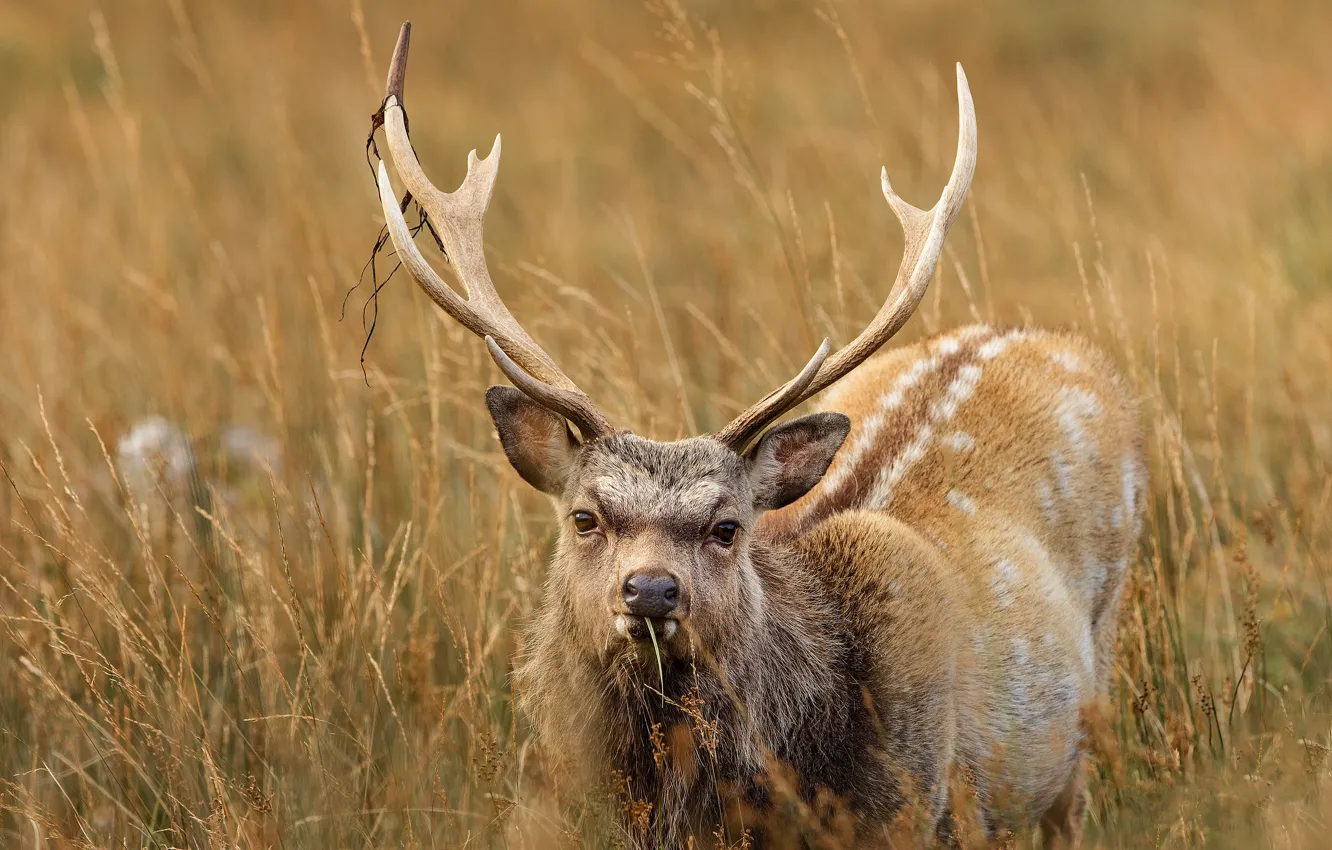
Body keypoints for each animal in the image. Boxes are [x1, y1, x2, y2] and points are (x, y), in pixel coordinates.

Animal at [368, 22, 1146, 848]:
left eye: (727, 527)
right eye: (584, 517)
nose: (651, 589)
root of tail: (1033, 334)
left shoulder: (910, 803)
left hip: (1087, 701)